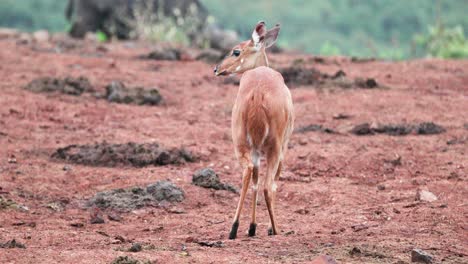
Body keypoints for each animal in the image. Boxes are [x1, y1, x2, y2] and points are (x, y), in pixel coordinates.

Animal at [215, 21, 294, 238]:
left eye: (236, 51)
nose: (216, 69)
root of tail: (258, 93)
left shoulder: (256, 150)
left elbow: (255, 181)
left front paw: (252, 226)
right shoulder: (282, 149)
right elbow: (271, 183)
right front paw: (264, 227)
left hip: (241, 143)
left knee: (249, 173)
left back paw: (234, 228)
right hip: (275, 148)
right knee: (269, 186)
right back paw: (276, 230)